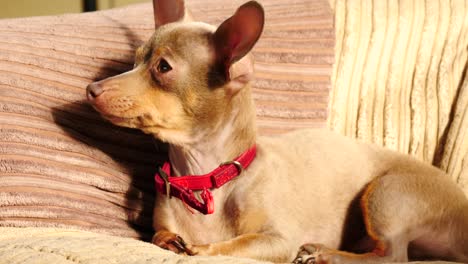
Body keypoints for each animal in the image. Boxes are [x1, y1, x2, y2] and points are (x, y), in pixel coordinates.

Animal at [87, 1, 468, 262]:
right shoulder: (160, 227)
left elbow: (233, 245)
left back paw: (324, 253)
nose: (92, 89)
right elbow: (160, 236)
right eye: (134, 61)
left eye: (163, 68)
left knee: (392, 255)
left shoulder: (277, 240)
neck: (206, 176)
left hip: (386, 193)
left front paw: (204, 248)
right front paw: (175, 241)